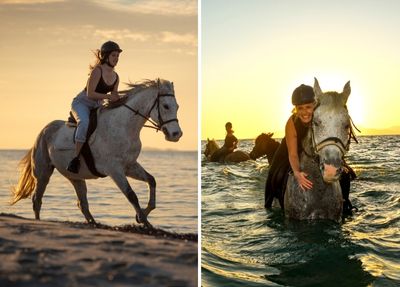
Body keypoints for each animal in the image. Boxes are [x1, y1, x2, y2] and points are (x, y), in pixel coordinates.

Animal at [11, 78, 182, 227]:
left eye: (177, 106)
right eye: (166, 106)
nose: (176, 135)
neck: (124, 126)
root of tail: (44, 130)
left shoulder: (129, 166)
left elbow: (152, 181)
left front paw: (142, 216)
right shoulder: (115, 169)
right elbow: (131, 195)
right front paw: (145, 222)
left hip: (75, 177)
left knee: (82, 204)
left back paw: (93, 223)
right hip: (43, 172)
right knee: (37, 199)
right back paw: (38, 221)